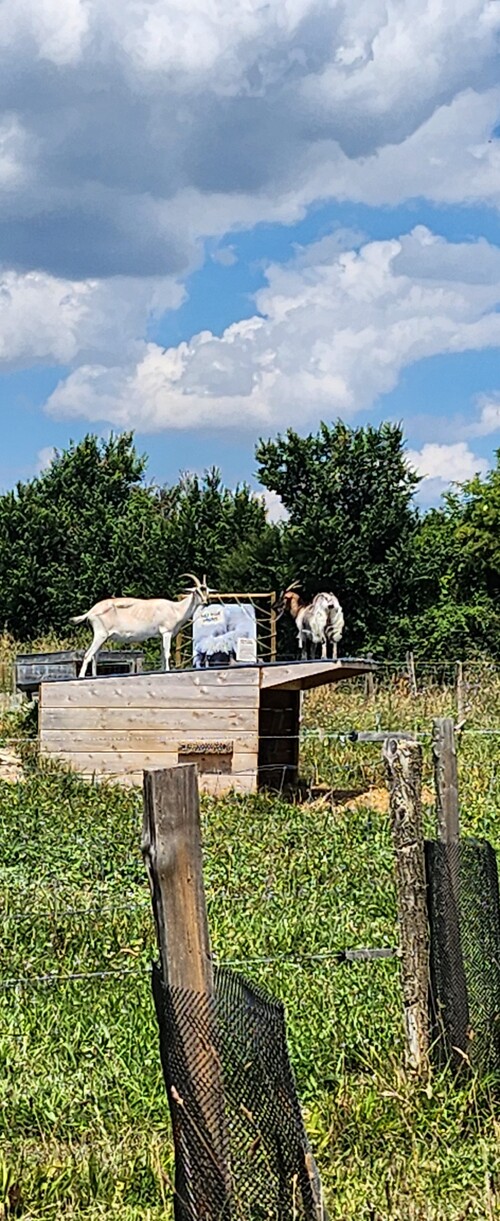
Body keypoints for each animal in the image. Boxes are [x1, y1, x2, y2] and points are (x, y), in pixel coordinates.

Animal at [70, 573, 208, 678]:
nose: (206, 602)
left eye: (206, 590)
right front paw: (168, 671)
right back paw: (81, 677)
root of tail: (91, 612)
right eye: (197, 591)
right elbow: (167, 653)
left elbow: (162, 655)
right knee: (88, 655)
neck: (175, 608)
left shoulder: (160, 636)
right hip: (100, 635)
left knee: (95, 657)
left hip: (103, 638)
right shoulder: (166, 632)